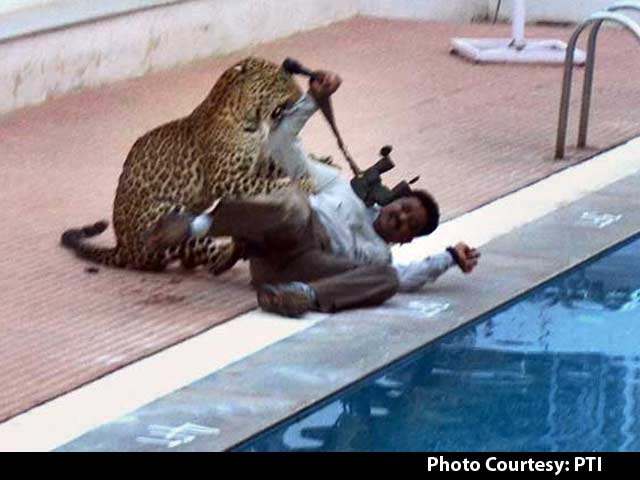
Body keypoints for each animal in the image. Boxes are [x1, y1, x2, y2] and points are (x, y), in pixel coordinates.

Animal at [61, 56, 323, 274]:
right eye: (279, 82)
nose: (301, 95)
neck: (251, 120)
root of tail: (122, 248)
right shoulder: (227, 177)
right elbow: (271, 184)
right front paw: (305, 183)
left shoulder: (255, 163)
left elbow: (274, 168)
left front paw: (319, 160)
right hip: (168, 216)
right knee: (207, 256)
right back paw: (236, 247)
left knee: (195, 259)